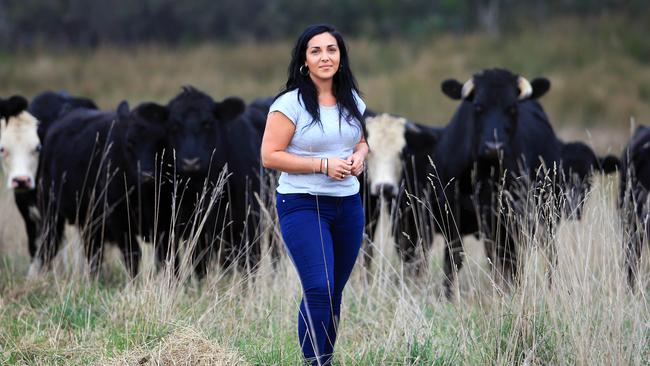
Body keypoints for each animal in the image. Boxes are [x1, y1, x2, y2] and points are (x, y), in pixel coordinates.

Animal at [33, 100, 167, 278]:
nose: (147, 174)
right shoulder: (119, 221)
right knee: (49, 246)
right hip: (51, 213)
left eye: (161, 141)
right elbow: (133, 254)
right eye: (130, 143)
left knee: (92, 251)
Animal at [162, 87, 260, 278]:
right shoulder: (191, 227)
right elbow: (199, 264)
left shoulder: (247, 219)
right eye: (174, 126)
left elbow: (248, 262)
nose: (191, 162)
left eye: (208, 124)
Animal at [430, 69, 560, 300]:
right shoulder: (452, 214)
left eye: (512, 108)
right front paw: (448, 296)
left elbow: (510, 260)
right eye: (478, 107)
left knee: (545, 253)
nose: (494, 146)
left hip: (545, 212)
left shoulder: (508, 217)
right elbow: (453, 259)